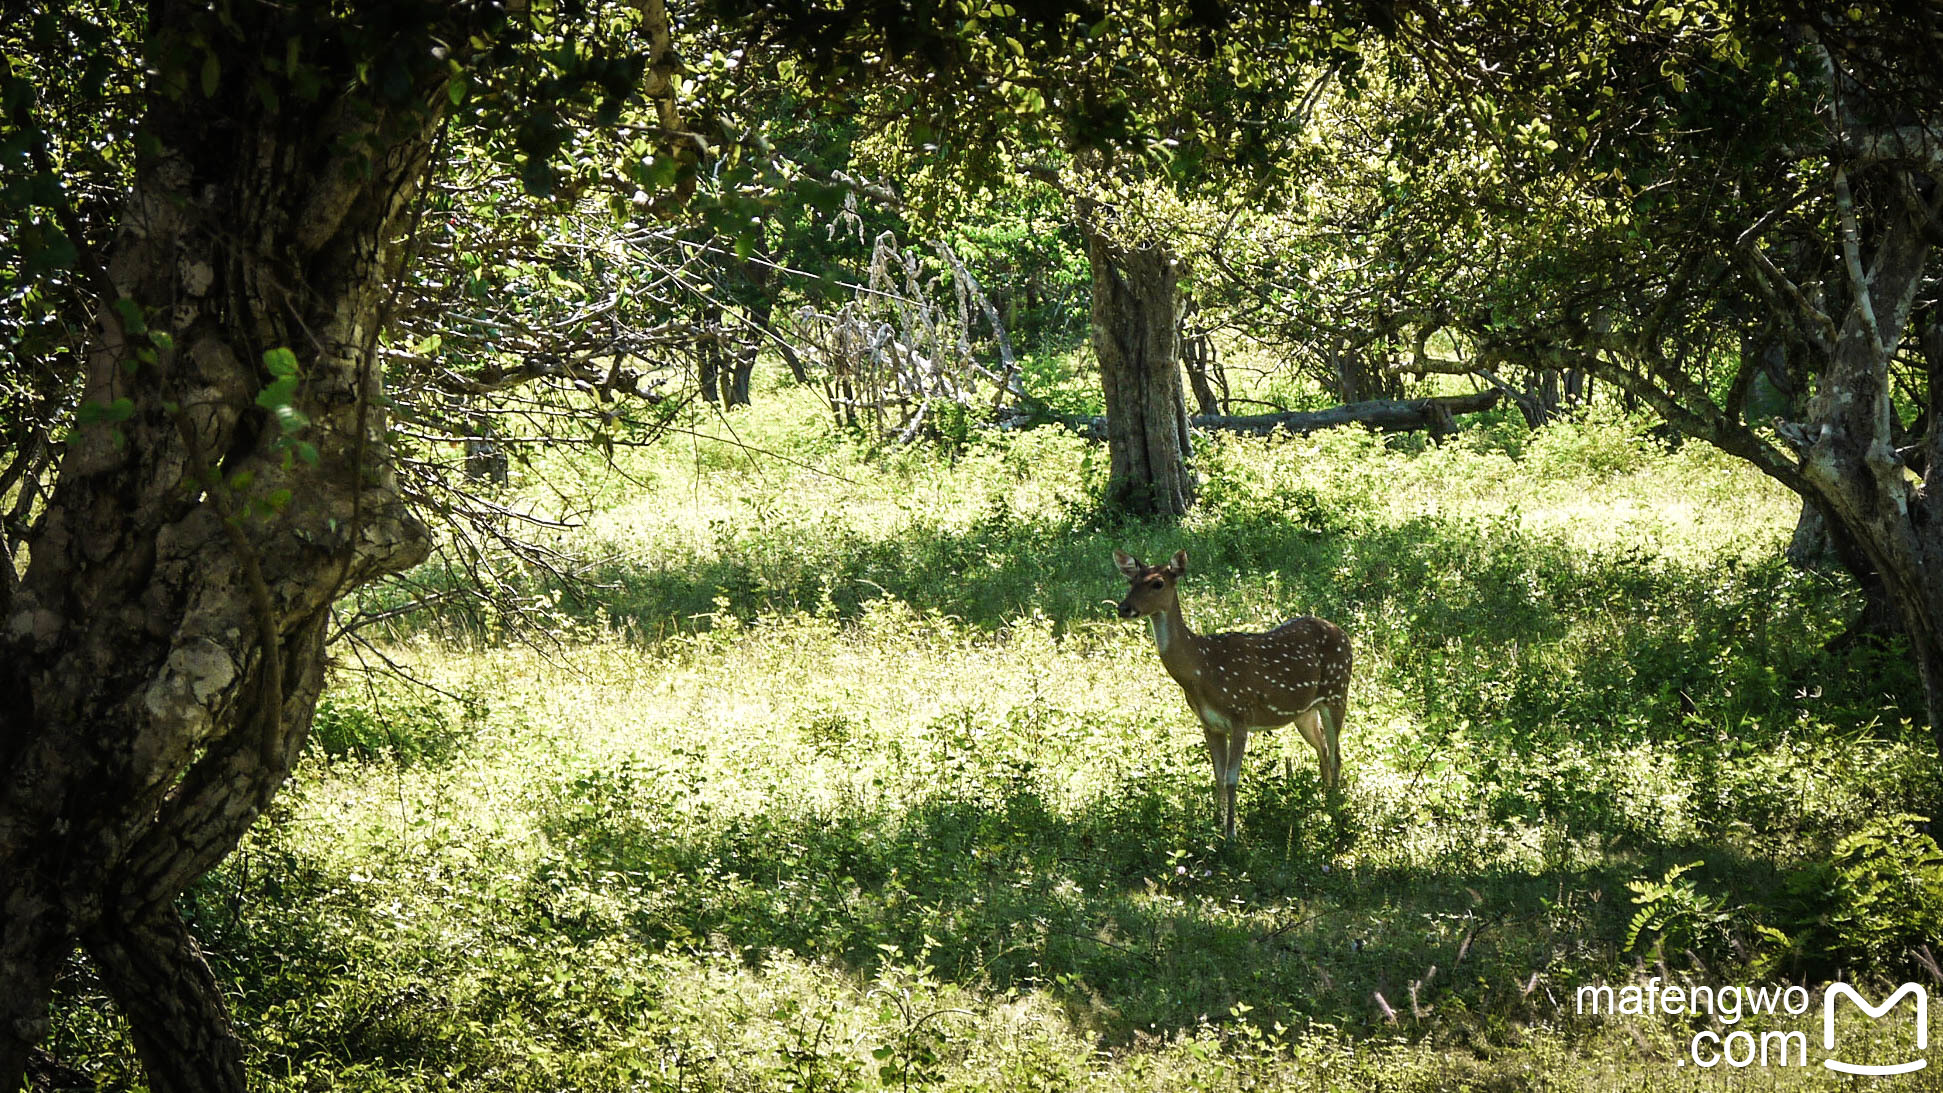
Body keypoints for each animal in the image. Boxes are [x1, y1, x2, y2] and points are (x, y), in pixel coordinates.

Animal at [1126, 551, 1352, 842]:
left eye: (1157, 583)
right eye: (1130, 580)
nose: (1124, 608)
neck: (1201, 668)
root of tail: (1345, 635)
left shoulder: (1240, 714)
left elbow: (1232, 777)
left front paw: (1232, 834)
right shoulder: (1210, 724)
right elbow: (1218, 776)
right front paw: (1214, 826)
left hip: (1337, 691)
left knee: (1336, 753)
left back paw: (1334, 812)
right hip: (1304, 711)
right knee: (1323, 747)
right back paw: (1323, 803)